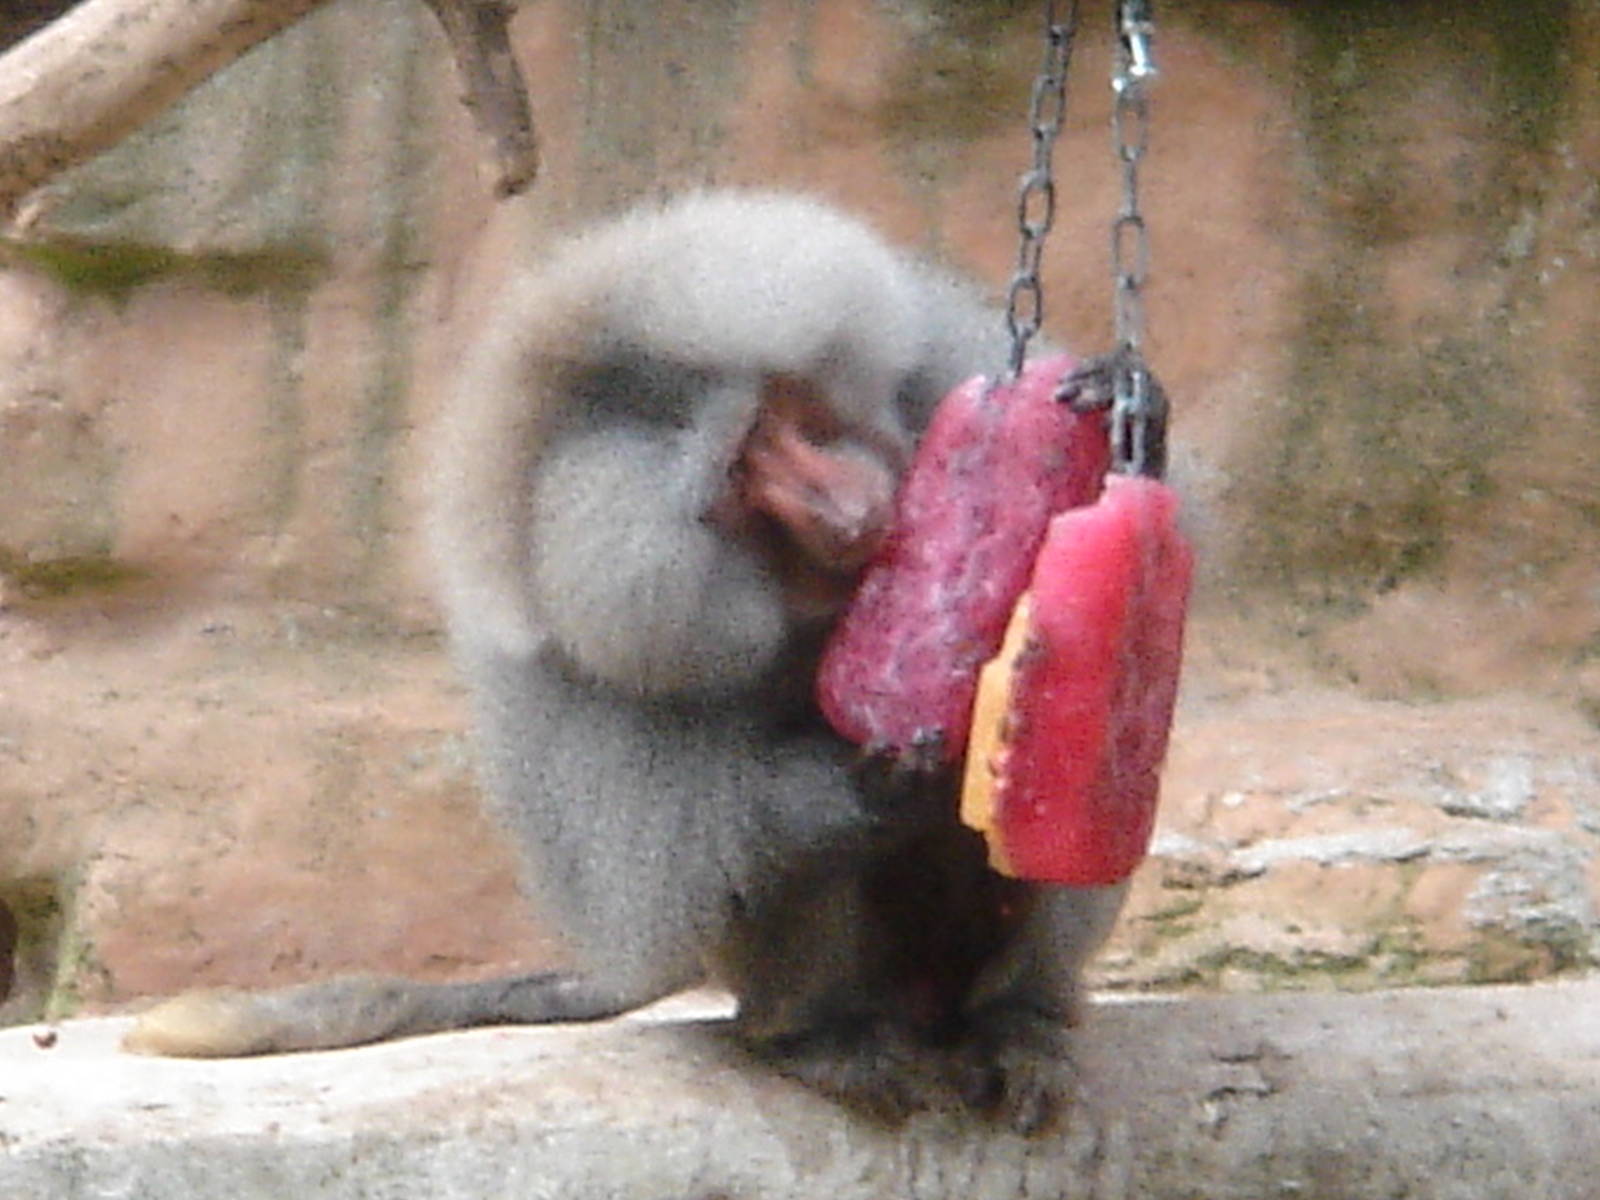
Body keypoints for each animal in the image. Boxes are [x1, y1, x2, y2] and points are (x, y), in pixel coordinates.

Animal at [124, 191, 1130, 1132]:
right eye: (738, 480)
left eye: (792, 417)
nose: (850, 512)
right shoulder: (574, 668)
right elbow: (682, 849)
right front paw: (876, 781)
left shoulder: (944, 369)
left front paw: (1123, 403)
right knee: (767, 869)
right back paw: (822, 1040)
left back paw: (1020, 1026)